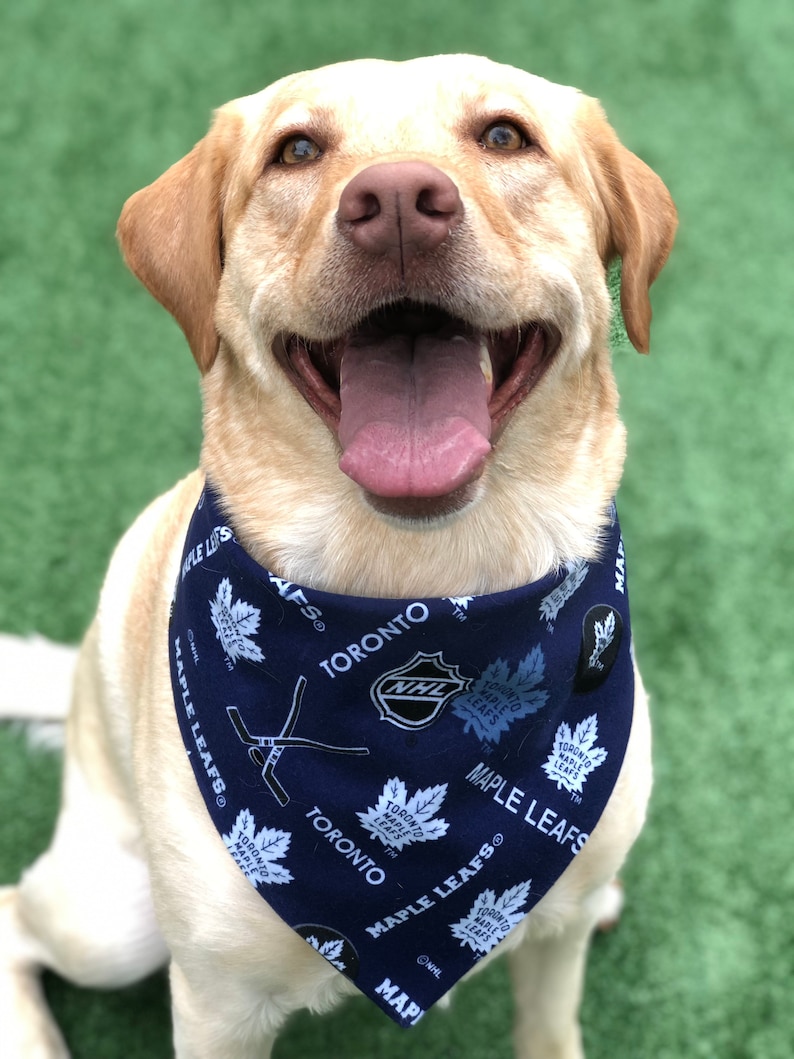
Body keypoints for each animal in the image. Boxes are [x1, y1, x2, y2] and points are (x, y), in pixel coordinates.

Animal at [0, 55, 677, 1059]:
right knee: (15, 913)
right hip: (114, 919)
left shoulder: (553, 941)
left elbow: (550, 1028)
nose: (396, 202)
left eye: (505, 135)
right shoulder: (216, 1002)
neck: (422, 593)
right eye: (297, 150)